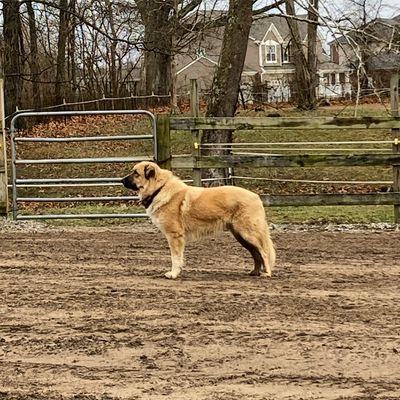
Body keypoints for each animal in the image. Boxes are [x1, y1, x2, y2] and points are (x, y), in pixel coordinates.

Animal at [122, 161, 276, 280]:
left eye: (136, 173)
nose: (121, 180)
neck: (159, 188)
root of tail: (256, 197)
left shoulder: (174, 236)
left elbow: (175, 257)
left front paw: (173, 274)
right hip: (241, 236)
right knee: (256, 254)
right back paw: (255, 272)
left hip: (248, 233)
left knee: (263, 252)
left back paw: (266, 274)